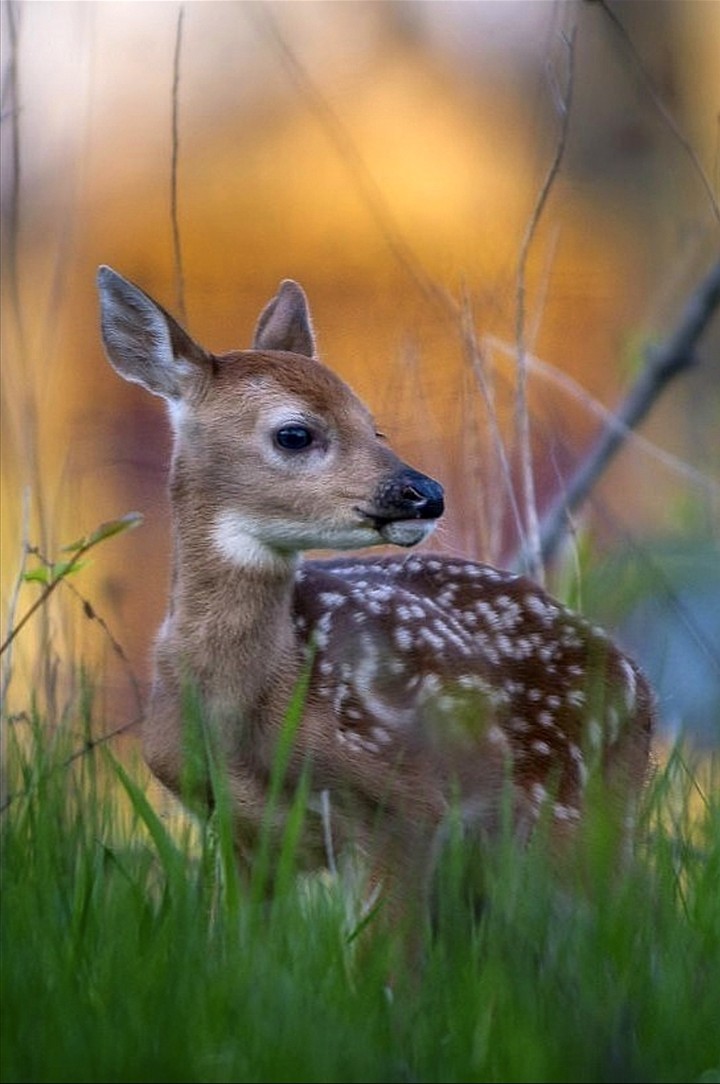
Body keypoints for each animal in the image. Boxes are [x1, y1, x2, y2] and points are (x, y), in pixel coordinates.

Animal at [97, 267, 654, 931]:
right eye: (295, 433)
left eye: (374, 425)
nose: (426, 493)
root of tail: (640, 683)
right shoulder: (238, 834)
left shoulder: (405, 807)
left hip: (583, 813)